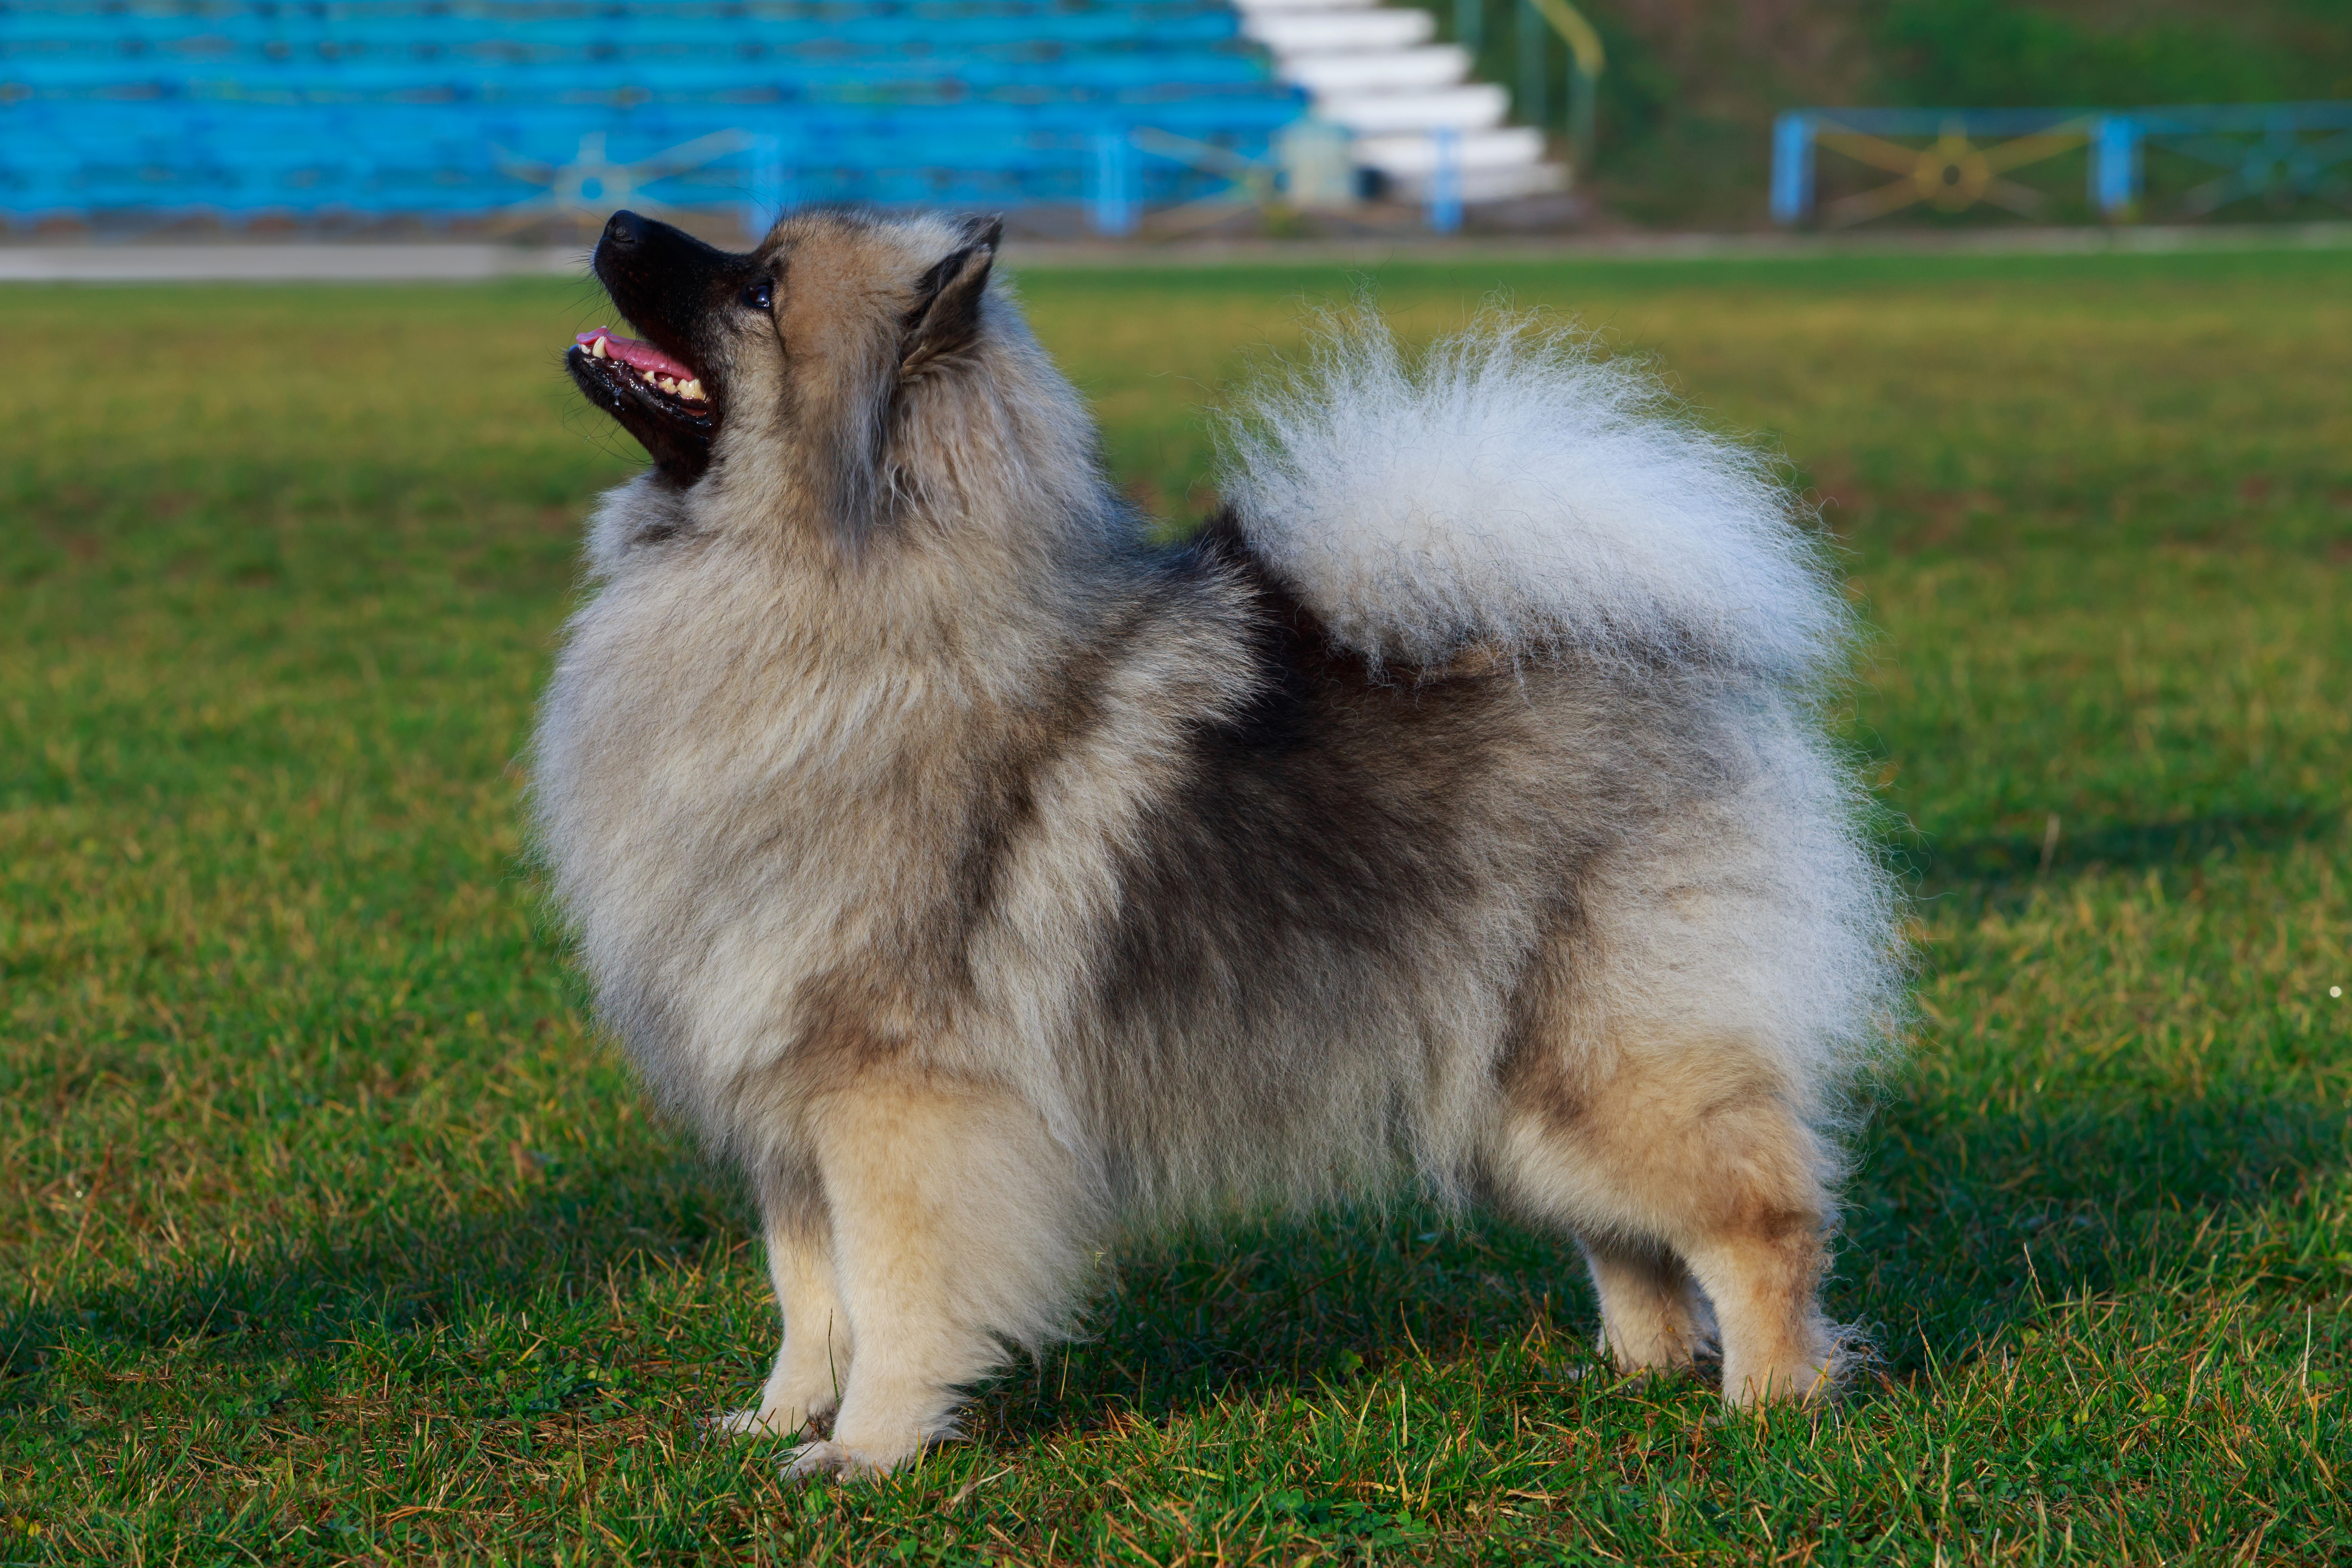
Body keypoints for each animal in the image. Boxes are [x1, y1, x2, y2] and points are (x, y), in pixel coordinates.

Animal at [529, 205, 1891, 1476]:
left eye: (760, 288)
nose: (615, 222)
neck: (836, 608)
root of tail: (1630, 654)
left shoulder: (896, 1099)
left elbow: (895, 1296)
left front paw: (864, 1453)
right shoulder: (790, 1104)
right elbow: (810, 1293)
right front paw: (776, 1423)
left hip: (1608, 1060)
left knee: (1761, 1217)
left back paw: (1771, 1401)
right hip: (1512, 1084)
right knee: (1627, 1236)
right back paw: (1633, 1371)